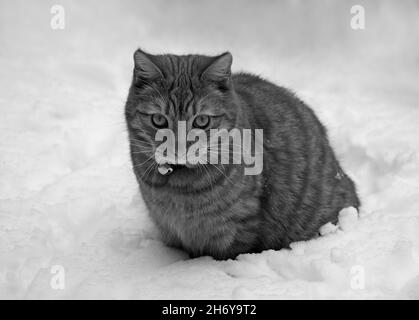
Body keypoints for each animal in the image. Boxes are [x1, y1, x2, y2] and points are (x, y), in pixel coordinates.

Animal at [124, 49, 360, 260]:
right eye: (159, 120)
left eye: (201, 121)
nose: (180, 148)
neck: (176, 187)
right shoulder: (168, 227)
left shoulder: (238, 227)